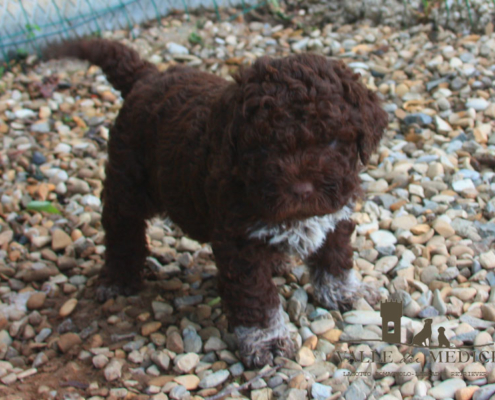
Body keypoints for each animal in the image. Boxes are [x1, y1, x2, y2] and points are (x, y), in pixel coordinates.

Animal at [48, 39, 390, 368]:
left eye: (333, 140)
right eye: (263, 146)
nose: (302, 189)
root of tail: (149, 77)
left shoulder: (335, 213)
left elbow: (335, 256)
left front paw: (344, 291)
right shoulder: (239, 242)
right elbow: (256, 296)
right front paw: (267, 340)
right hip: (127, 179)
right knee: (121, 227)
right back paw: (118, 278)